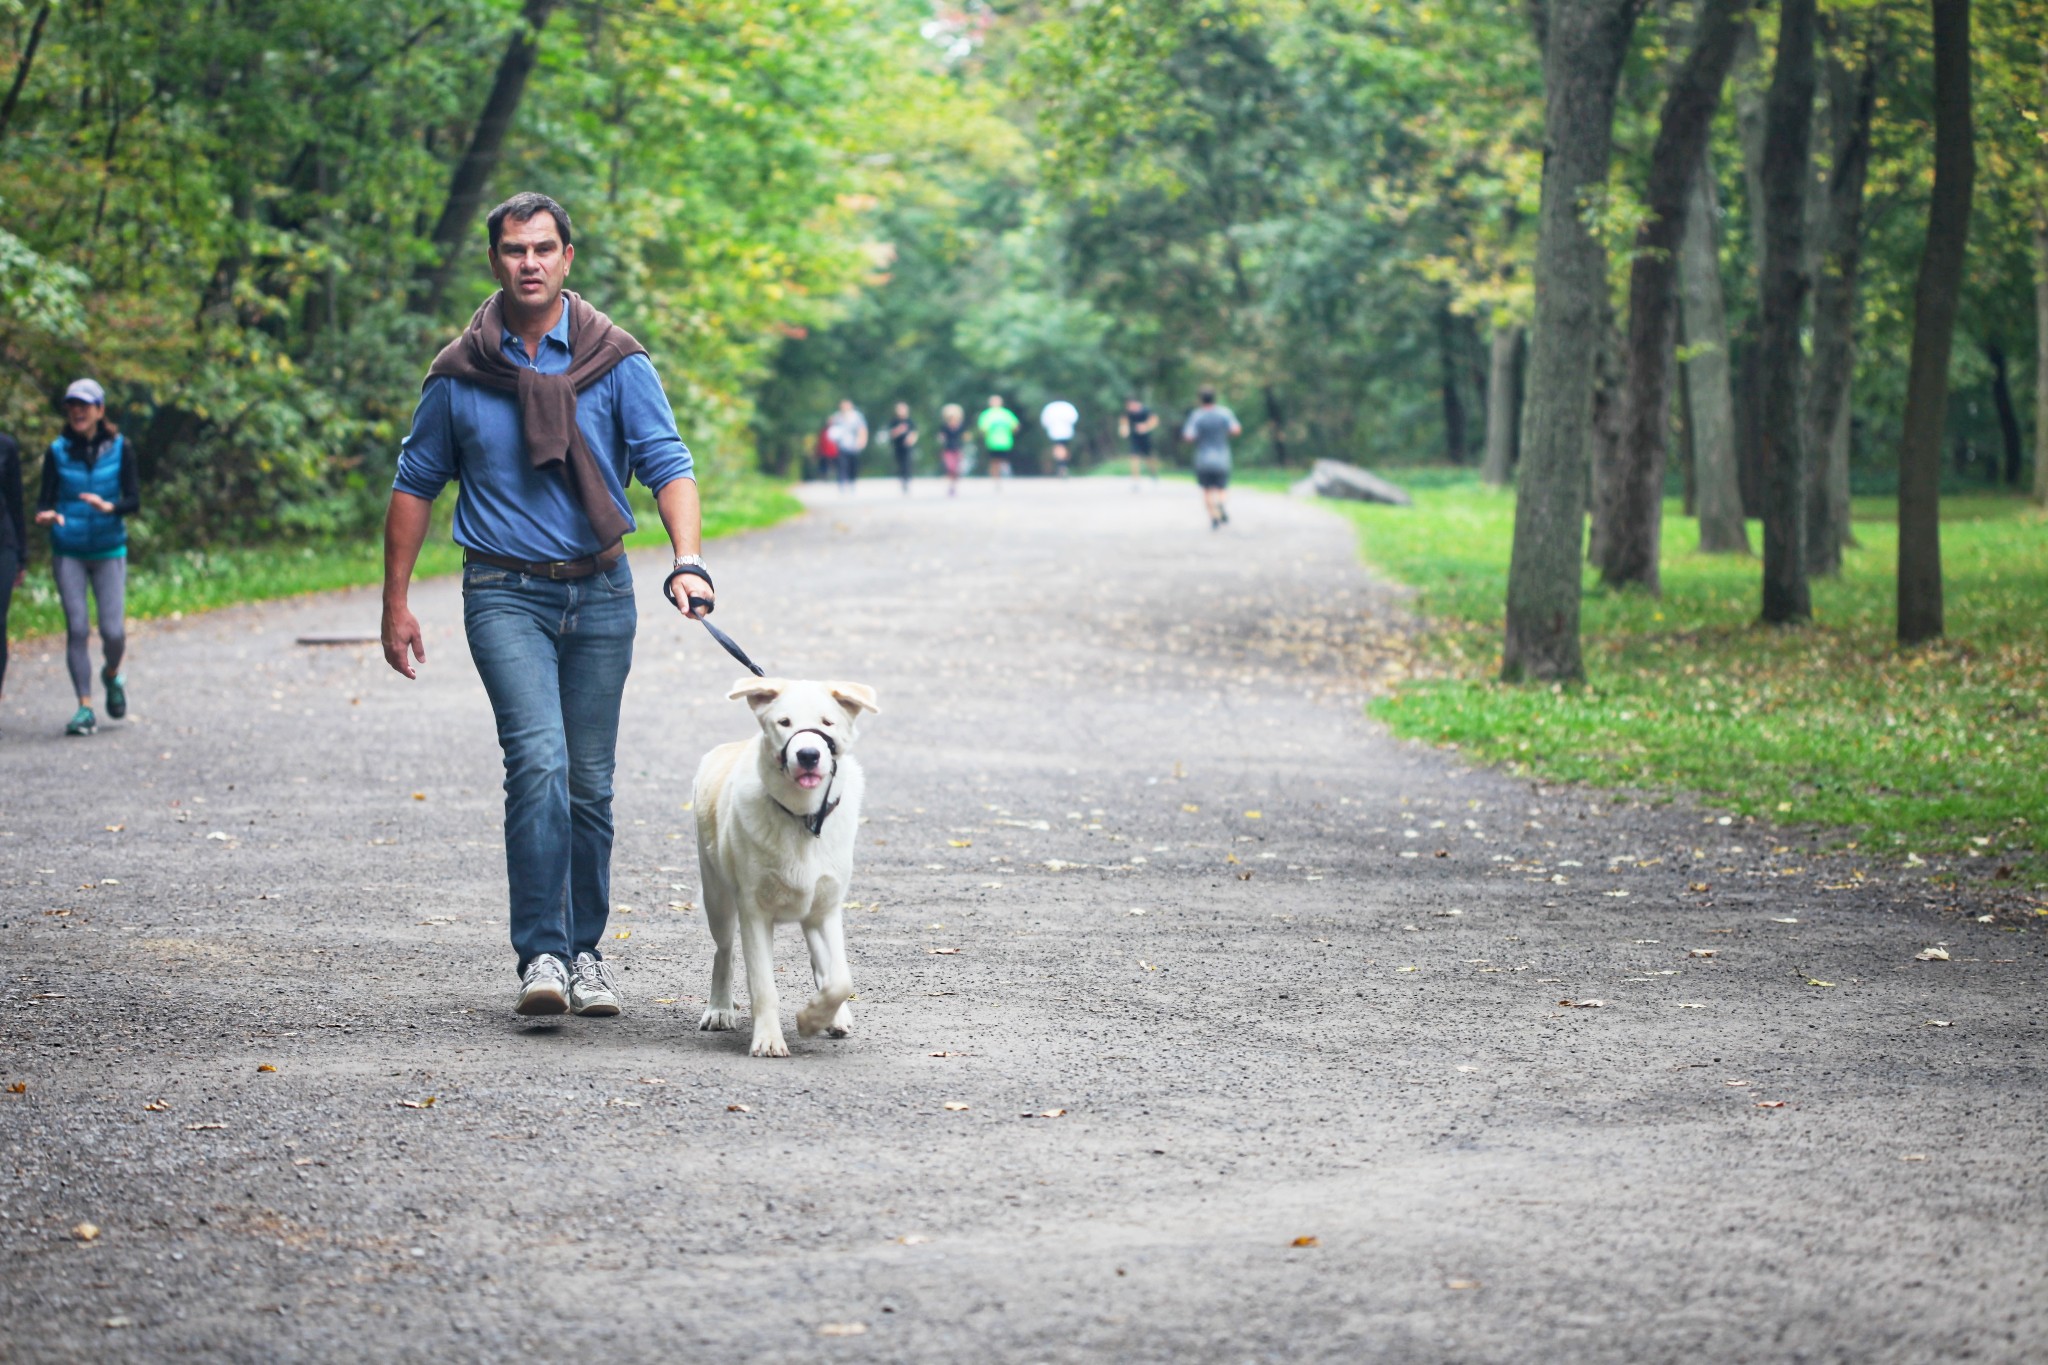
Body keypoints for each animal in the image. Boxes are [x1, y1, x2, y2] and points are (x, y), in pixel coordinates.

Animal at [696, 679, 880, 1055]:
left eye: (827, 722)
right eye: (784, 722)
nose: (808, 754)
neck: (802, 816)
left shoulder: (827, 907)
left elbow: (840, 978)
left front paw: (812, 1019)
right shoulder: (754, 911)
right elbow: (763, 985)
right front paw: (769, 1039)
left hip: (811, 909)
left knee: (822, 963)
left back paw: (835, 1016)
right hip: (717, 899)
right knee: (724, 952)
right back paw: (719, 1008)